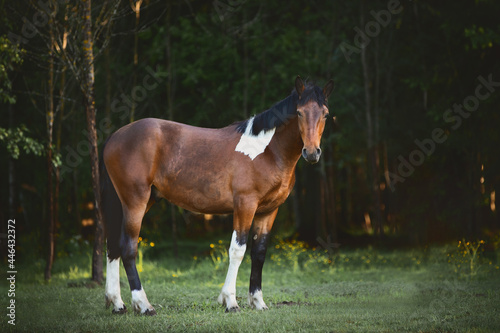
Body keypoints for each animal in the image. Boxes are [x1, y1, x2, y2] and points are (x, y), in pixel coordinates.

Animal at [100, 75, 336, 314]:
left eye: (325, 114)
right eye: (299, 112)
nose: (312, 152)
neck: (267, 151)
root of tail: (115, 136)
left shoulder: (268, 211)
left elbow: (259, 253)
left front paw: (258, 302)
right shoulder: (245, 205)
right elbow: (238, 250)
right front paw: (230, 301)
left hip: (140, 201)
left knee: (114, 247)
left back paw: (117, 303)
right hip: (135, 201)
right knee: (128, 247)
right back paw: (143, 304)